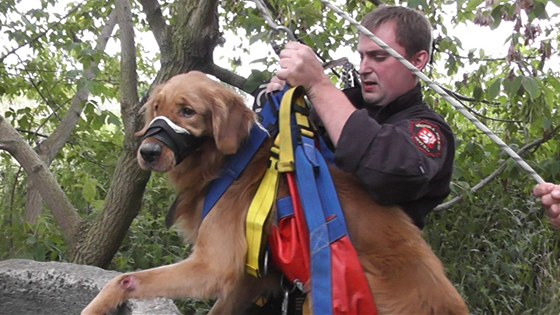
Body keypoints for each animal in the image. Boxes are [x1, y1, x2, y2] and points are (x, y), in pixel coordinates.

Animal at [82, 71, 468, 315]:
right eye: (156, 109)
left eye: (187, 111)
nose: (147, 152)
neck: (227, 164)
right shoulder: (250, 281)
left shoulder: (213, 267)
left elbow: (123, 279)